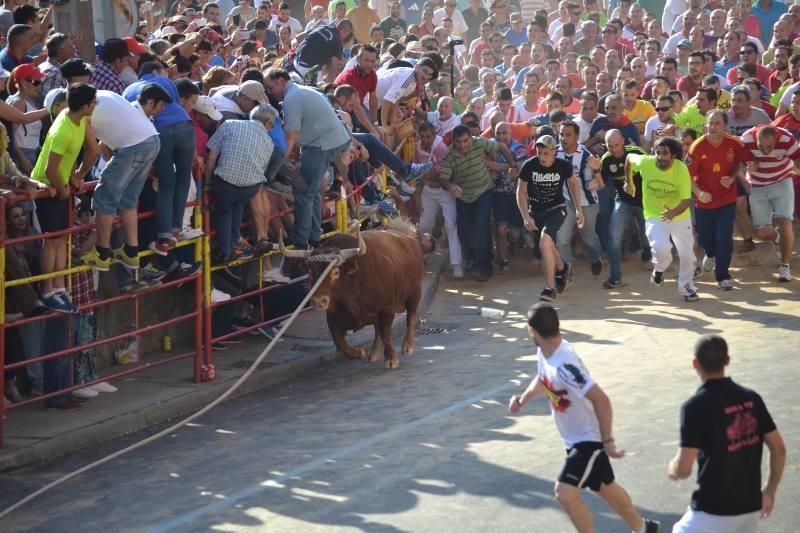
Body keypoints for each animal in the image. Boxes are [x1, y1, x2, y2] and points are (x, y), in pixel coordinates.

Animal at [280, 231, 422, 368]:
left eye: (336, 272)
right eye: (310, 272)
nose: (318, 301)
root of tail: (409, 238)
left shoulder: (387, 309)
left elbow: (386, 334)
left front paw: (391, 359)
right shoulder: (333, 318)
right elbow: (340, 343)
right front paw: (359, 352)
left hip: (415, 293)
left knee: (411, 316)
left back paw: (408, 346)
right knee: (377, 329)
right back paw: (374, 353)